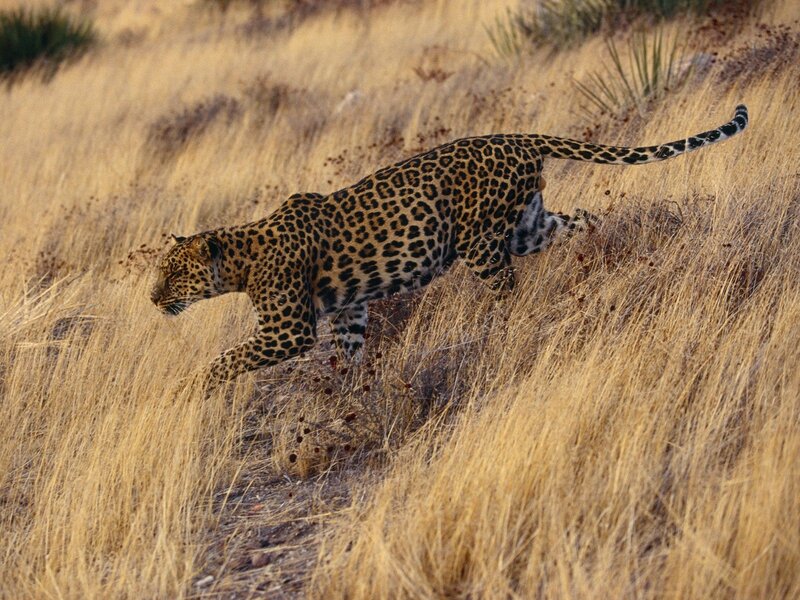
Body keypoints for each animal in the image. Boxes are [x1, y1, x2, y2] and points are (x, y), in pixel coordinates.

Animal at [151, 104, 748, 388]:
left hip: (479, 243)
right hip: (528, 226)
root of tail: (517, 137)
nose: (153, 299)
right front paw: (347, 393)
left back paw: (507, 330)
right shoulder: (349, 310)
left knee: (508, 292)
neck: (241, 259)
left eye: (173, 274)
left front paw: (191, 390)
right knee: (582, 220)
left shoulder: (287, 330)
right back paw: (608, 252)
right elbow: (348, 353)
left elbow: (226, 359)